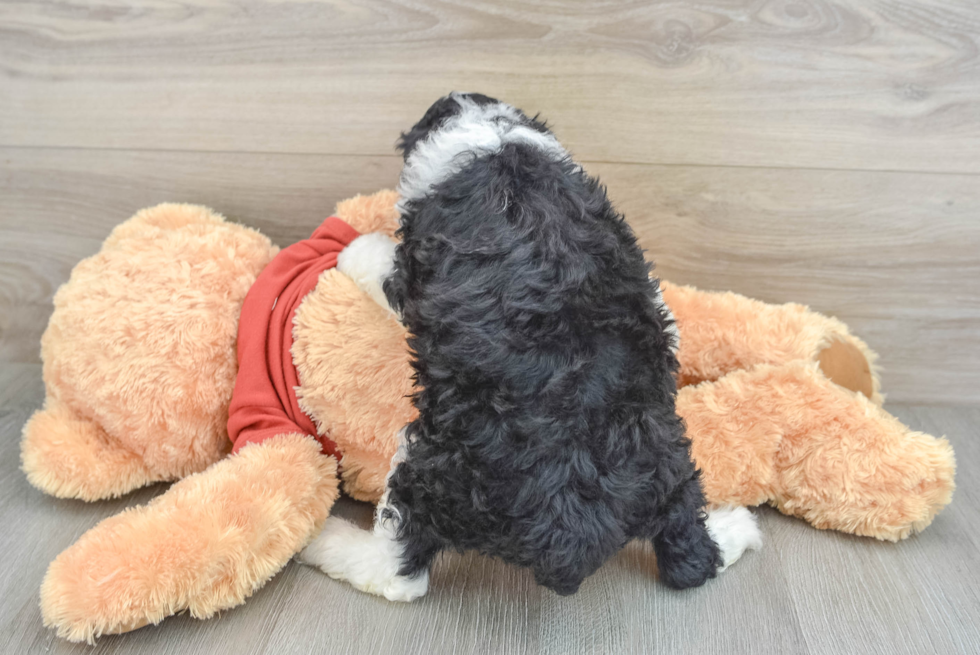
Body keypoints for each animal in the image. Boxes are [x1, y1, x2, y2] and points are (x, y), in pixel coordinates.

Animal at [302, 93, 760, 604]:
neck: (497, 143)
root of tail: (572, 533)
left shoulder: (412, 270)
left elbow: (378, 262)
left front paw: (354, 246)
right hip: (670, 461)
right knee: (691, 556)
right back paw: (736, 528)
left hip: (431, 470)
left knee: (399, 572)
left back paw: (324, 542)